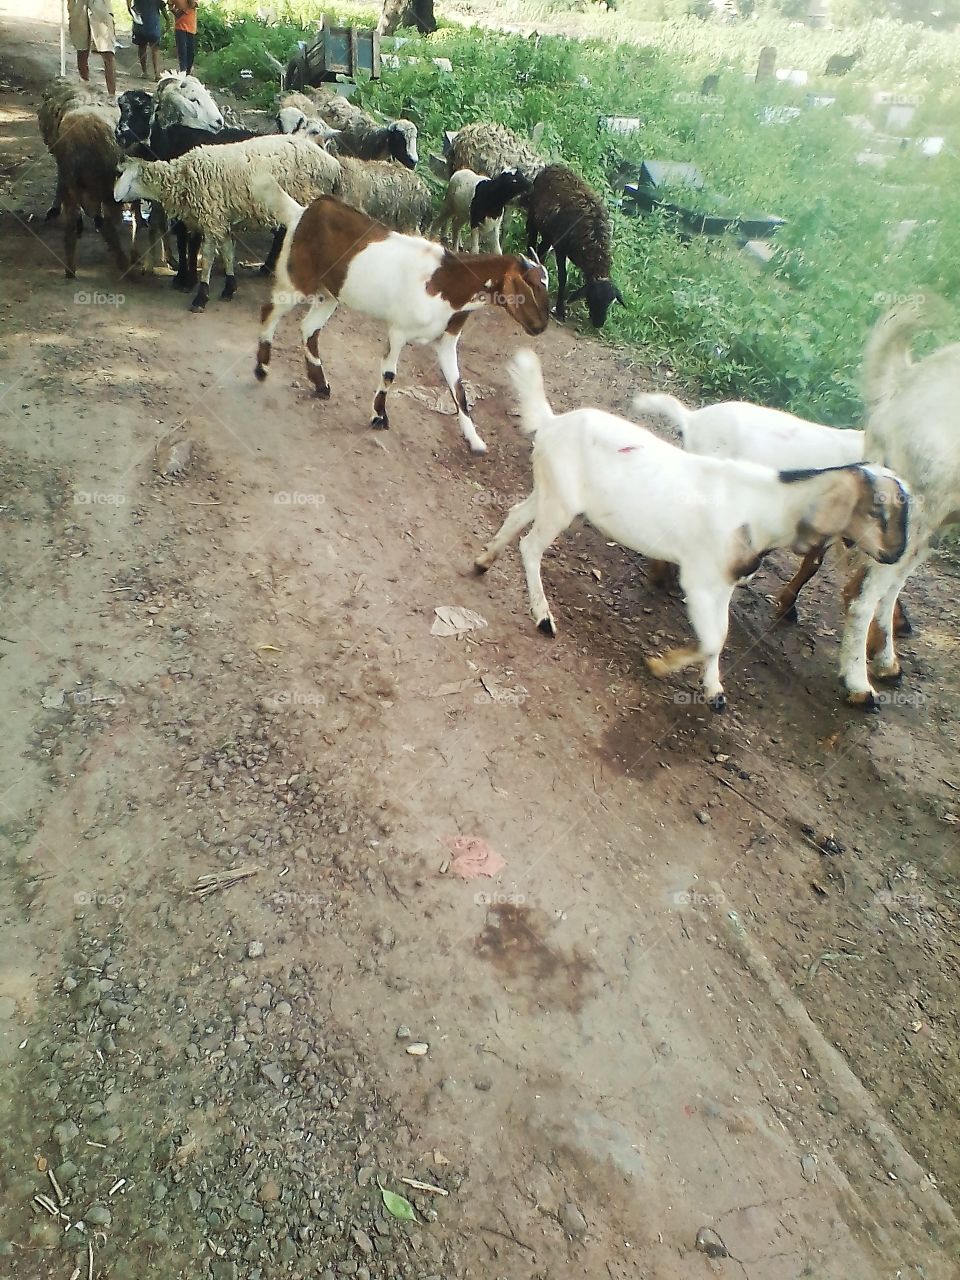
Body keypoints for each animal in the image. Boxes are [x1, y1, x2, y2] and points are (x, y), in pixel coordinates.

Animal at [251, 179, 550, 455]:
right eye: (531, 284)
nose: (541, 326)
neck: (447, 281)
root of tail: (302, 211)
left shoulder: (447, 341)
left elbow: (459, 390)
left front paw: (475, 441)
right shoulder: (399, 330)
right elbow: (389, 374)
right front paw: (379, 417)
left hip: (329, 294)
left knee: (308, 328)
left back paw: (321, 385)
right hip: (296, 279)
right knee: (270, 312)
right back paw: (262, 368)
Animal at [475, 351, 910, 710]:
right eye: (878, 508)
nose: (895, 555)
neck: (765, 503)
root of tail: (552, 422)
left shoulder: (724, 581)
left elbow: (722, 634)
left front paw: (713, 689)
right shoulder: (699, 579)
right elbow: (713, 637)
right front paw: (663, 665)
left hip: (551, 490)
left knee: (516, 514)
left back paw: (483, 561)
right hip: (560, 505)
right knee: (531, 547)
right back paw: (542, 616)